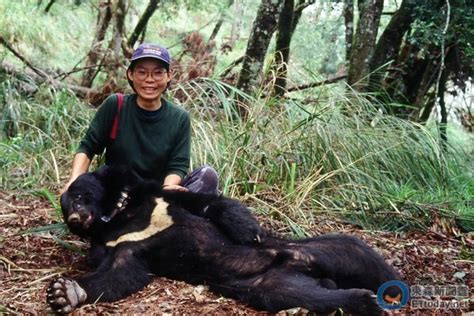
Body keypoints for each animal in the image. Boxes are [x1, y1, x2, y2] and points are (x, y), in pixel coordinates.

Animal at [48, 167, 400, 314]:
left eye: (79, 196)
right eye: (65, 209)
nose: (75, 219)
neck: (121, 217)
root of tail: (298, 264)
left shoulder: (162, 199)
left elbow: (207, 204)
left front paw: (248, 230)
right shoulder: (121, 246)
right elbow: (121, 272)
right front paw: (64, 292)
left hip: (317, 246)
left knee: (359, 254)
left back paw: (391, 289)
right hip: (267, 283)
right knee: (302, 296)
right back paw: (362, 299)